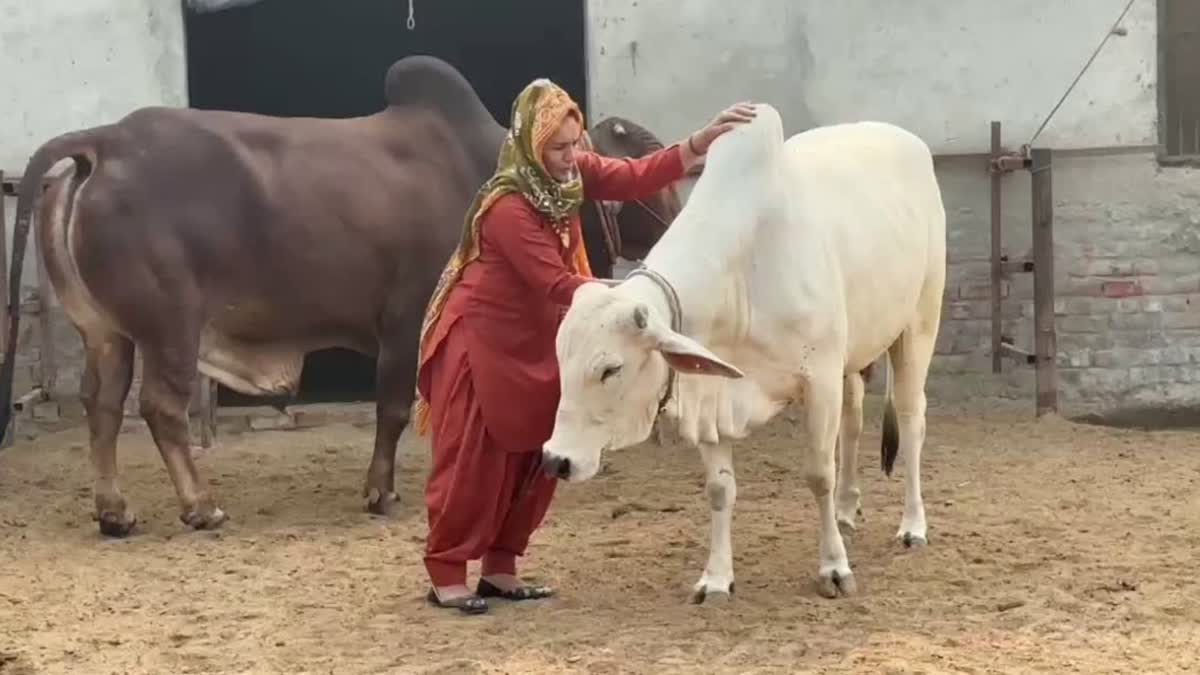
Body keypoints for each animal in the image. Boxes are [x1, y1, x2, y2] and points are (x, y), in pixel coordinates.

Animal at [2, 55, 686, 533]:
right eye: (647, 175)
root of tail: (105, 140)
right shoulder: (407, 320)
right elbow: (394, 408)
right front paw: (381, 492)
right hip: (171, 324)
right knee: (160, 408)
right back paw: (200, 506)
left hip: (106, 332)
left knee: (101, 406)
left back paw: (114, 511)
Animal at [544, 103, 945, 598]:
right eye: (560, 361)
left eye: (610, 369)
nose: (556, 460)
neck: (743, 271)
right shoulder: (713, 392)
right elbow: (720, 490)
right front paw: (716, 578)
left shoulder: (819, 379)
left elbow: (819, 474)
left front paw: (834, 568)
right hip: (855, 357)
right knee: (853, 422)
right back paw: (847, 510)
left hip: (918, 323)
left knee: (910, 420)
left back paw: (912, 525)